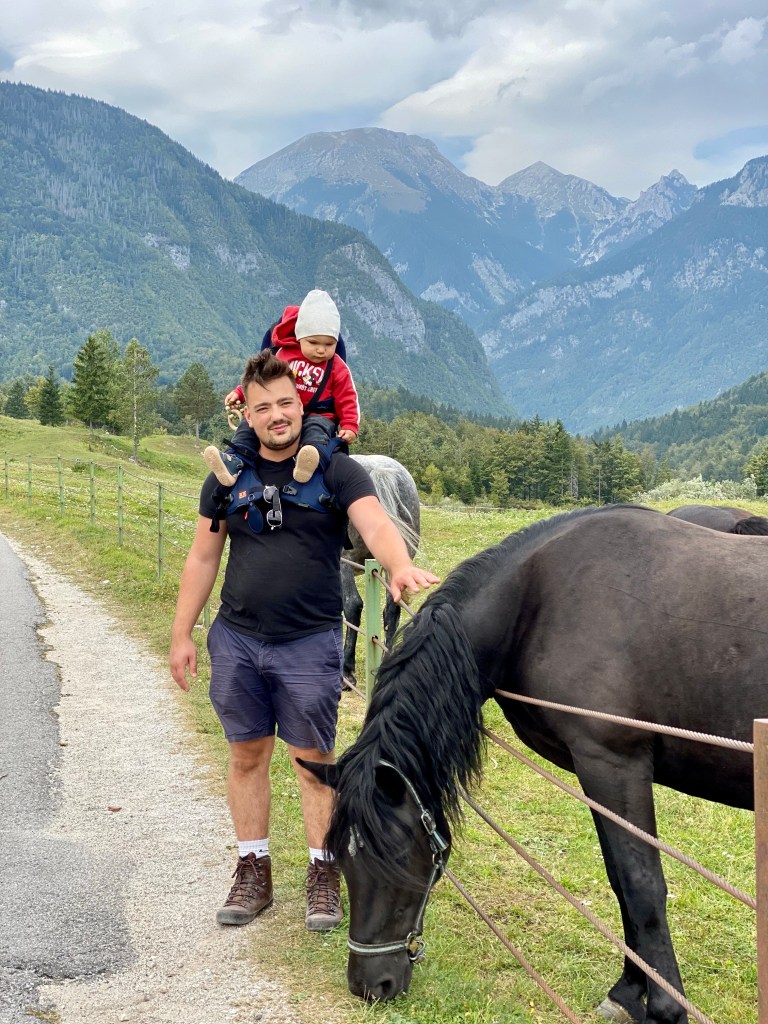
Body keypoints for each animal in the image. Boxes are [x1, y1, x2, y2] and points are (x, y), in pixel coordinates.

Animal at [302, 504, 766, 1022]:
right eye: (342, 859)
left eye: (401, 858)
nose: (370, 986)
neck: (537, 597)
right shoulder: (598, 775)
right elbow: (620, 883)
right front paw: (627, 993)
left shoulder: (613, 764)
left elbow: (641, 886)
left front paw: (665, 1008)